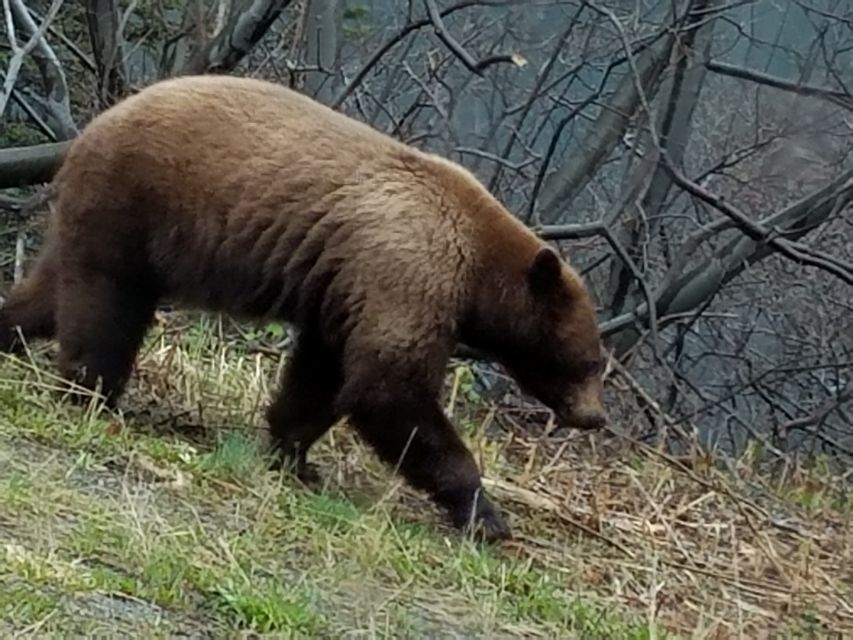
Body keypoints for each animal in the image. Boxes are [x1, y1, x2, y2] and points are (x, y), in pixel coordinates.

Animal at [3, 77, 608, 544]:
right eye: (590, 362)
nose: (595, 417)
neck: (481, 267)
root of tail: (90, 129)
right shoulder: (410, 270)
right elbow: (389, 388)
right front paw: (485, 513)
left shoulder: (347, 285)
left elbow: (324, 373)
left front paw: (293, 454)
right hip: (136, 203)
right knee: (107, 309)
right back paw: (92, 394)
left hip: (101, 216)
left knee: (49, 292)